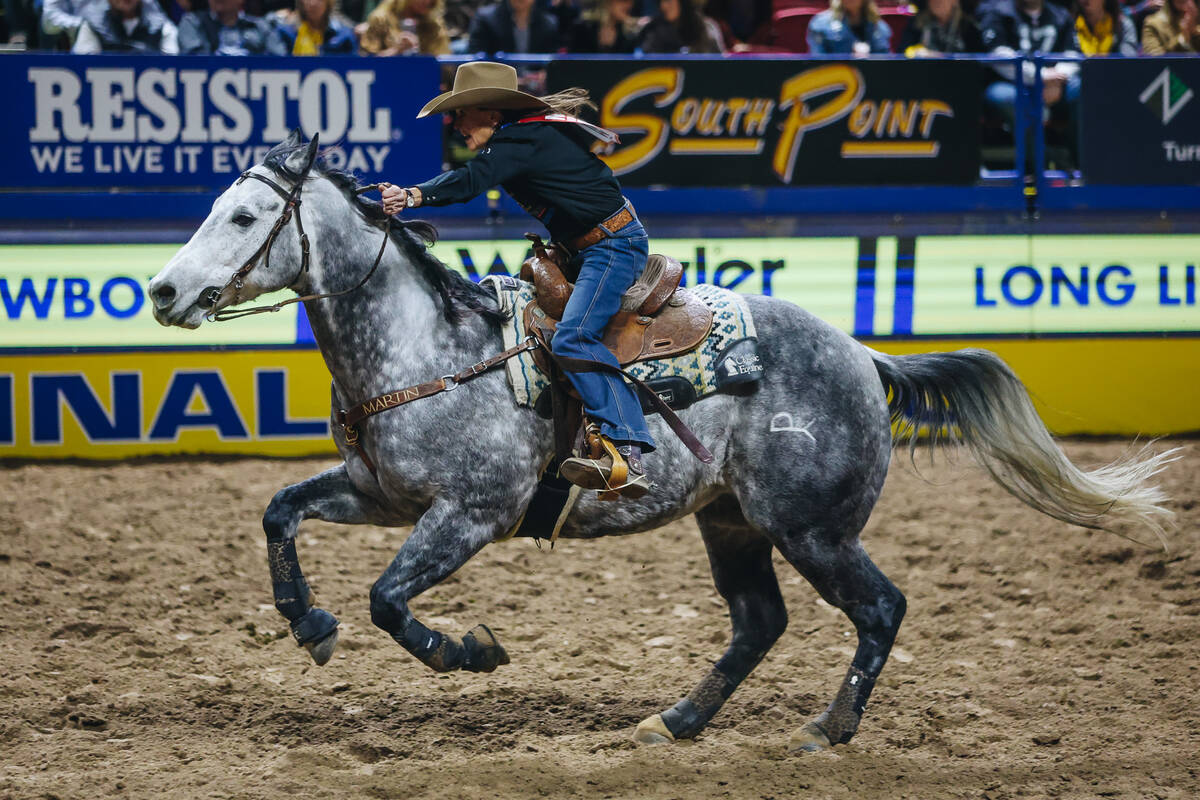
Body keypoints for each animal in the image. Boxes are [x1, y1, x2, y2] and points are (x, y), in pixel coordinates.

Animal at [142, 134, 1171, 753]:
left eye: (244, 216)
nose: (160, 291)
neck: (430, 346)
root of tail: (864, 354)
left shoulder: (470, 513)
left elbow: (390, 601)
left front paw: (470, 652)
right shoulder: (379, 493)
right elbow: (280, 514)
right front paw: (308, 625)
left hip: (814, 529)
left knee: (880, 609)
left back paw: (827, 729)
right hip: (733, 523)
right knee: (759, 623)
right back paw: (674, 720)